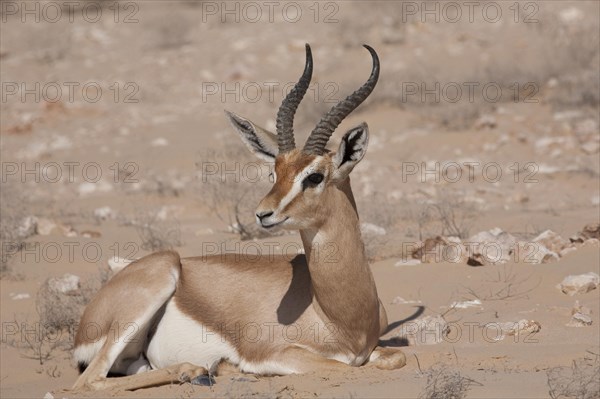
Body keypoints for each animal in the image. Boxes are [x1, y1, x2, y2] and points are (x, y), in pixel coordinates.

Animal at [72, 43, 406, 390]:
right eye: (275, 172)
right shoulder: (275, 353)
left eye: (314, 177)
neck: (337, 315)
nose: (263, 214)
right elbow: (343, 367)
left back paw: (194, 371)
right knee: (88, 380)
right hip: (158, 280)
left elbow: (396, 358)